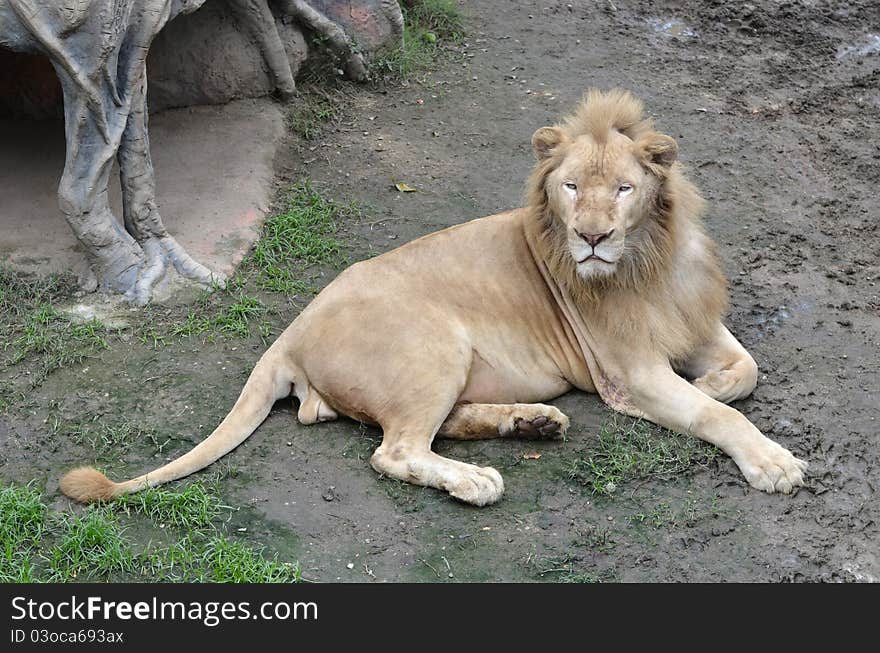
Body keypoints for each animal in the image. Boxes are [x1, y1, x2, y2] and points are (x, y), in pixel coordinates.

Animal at [58, 88, 808, 504]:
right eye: (571, 187)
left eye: (623, 188)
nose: (592, 237)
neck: (647, 259)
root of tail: (289, 332)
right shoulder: (631, 372)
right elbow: (717, 415)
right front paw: (770, 459)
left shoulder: (694, 318)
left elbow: (745, 369)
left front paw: (712, 379)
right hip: (434, 344)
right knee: (394, 450)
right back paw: (476, 479)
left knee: (430, 428)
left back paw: (531, 422)